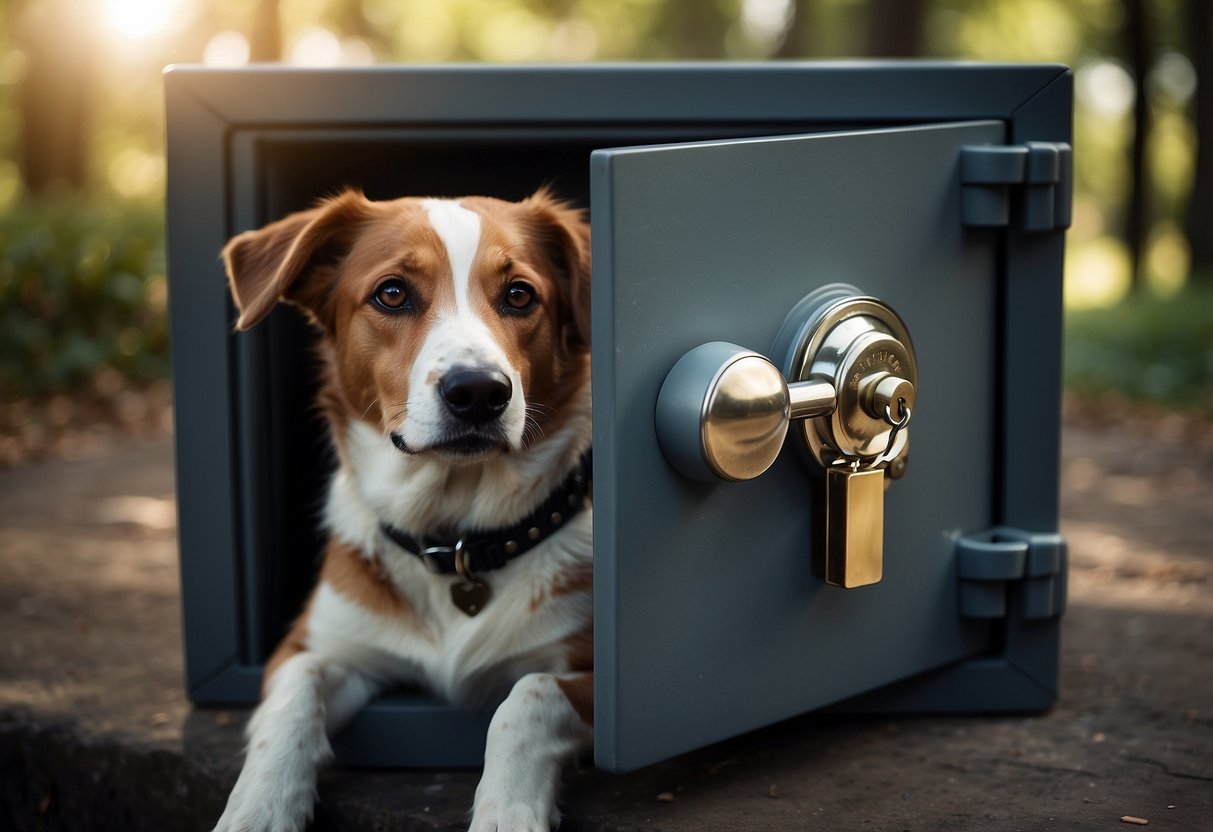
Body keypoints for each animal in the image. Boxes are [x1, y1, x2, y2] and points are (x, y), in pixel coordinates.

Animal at [217, 189, 596, 832]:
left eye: (520, 294)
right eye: (392, 293)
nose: (478, 391)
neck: (457, 541)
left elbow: (528, 695)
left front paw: (506, 812)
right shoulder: (311, 645)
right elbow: (290, 700)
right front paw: (258, 808)